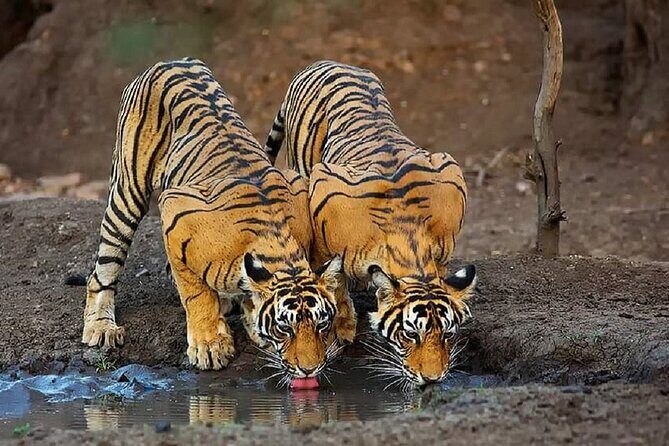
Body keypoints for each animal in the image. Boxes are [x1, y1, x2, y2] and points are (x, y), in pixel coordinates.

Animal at [69, 58, 356, 379]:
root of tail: (173, 61)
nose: (310, 370)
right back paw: (101, 326)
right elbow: (196, 294)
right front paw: (209, 345)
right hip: (127, 191)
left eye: (321, 324)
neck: (276, 245)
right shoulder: (175, 212)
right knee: (104, 269)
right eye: (285, 328)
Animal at [264, 60, 477, 388]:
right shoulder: (324, 200)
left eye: (447, 334)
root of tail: (324, 62)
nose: (432, 379)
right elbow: (333, 280)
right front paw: (342, 328)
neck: (409, 237)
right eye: (410, 335)